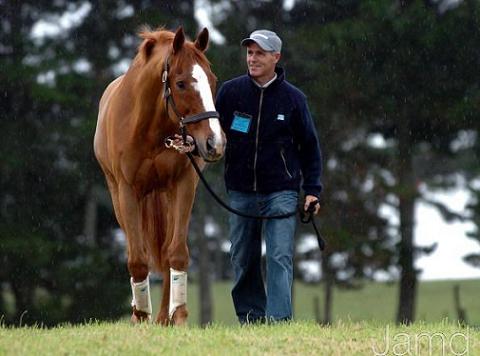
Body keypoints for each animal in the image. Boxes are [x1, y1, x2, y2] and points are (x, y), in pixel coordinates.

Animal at [93, 27, 225, 326]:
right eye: (181, 83)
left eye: (212, 80)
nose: (214, 143)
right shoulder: (127, 191)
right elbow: (137, 258)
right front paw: (141, 315)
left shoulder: (184, 185)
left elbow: (175, 252)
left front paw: (178, 316)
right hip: (120, 196)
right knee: (135, 248)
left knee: (165, 251)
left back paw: (165, 315)